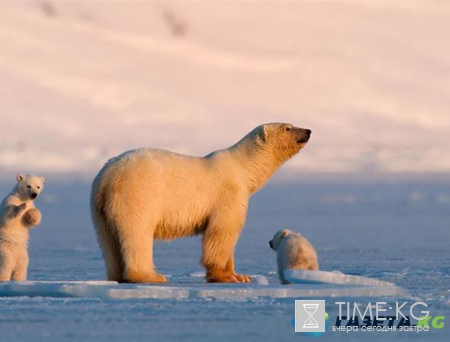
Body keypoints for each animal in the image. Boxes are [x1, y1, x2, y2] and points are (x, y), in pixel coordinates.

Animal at [89, 123, 312, 284]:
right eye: (288, 127)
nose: (308, 131)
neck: (243, 167)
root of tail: (107, 177)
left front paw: (241, 276)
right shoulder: (228, 194)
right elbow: (222, 232)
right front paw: (224, 277)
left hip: (99, 208)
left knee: (108, 241)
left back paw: (117, 276)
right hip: (138, 194)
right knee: (137, 233)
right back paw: (150, 276)